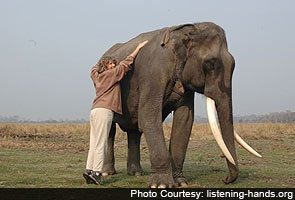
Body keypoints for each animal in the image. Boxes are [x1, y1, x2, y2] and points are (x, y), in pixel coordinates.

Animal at [99, 21, 262, 188]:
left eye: (234, 65)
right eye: (210, 64)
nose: (225, 179)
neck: (187, 29)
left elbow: (184, 120)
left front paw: (180, 182)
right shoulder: (153, 73)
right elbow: (148, 116)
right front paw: (161, 185)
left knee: (134, 131)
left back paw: (137, 173)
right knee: (111, 129)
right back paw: (107, 173)